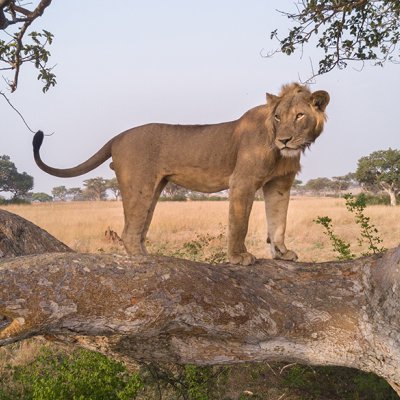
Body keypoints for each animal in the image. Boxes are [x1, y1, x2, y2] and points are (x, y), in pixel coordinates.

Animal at [33, 83, 328, 266]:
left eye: (299, 116)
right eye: (278, 117)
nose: (284, 140)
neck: (278, 150)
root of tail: (118, 137)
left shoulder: (279, 184)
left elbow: (278, 222)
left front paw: (282, 253)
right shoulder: (242, 181)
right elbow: (239, 224)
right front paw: (238, 257)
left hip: (154, 188)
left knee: (139, 230)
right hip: (139, 185)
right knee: (129, 231)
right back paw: (144, 261)